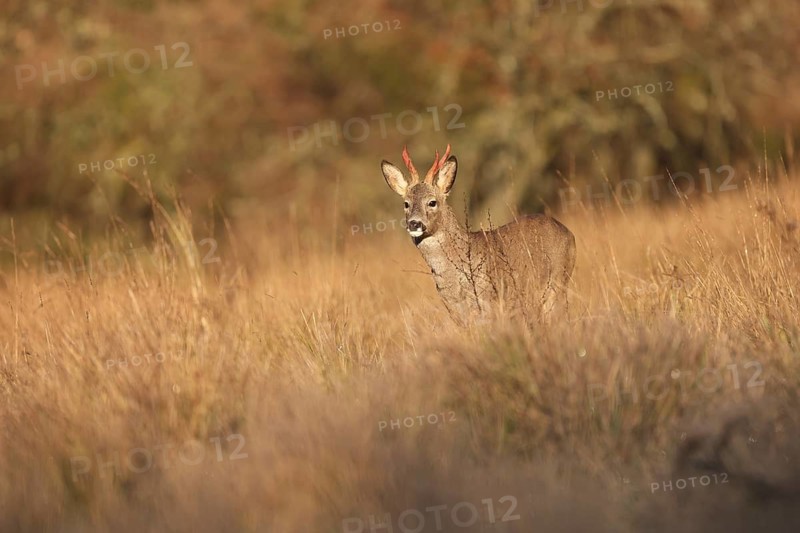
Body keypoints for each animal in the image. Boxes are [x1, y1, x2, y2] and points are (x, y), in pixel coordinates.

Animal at [380, 144, 576, 326]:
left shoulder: (489, 300)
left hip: (558, 281)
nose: (414, 223)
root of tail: (569, 233)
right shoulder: (455, 312)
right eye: (406, 203)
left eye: (432, 202)